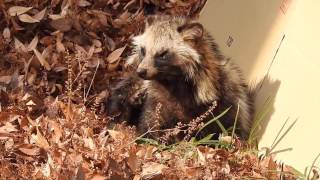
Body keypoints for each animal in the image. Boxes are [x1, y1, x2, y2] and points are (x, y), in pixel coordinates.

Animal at [109, 15, 254, 141]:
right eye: (143, 50)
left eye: (163, 54)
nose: (141, 71)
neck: (171, 82)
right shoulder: (156, 100)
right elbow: (150, 124)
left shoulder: (224, 103)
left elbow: (219, 129)